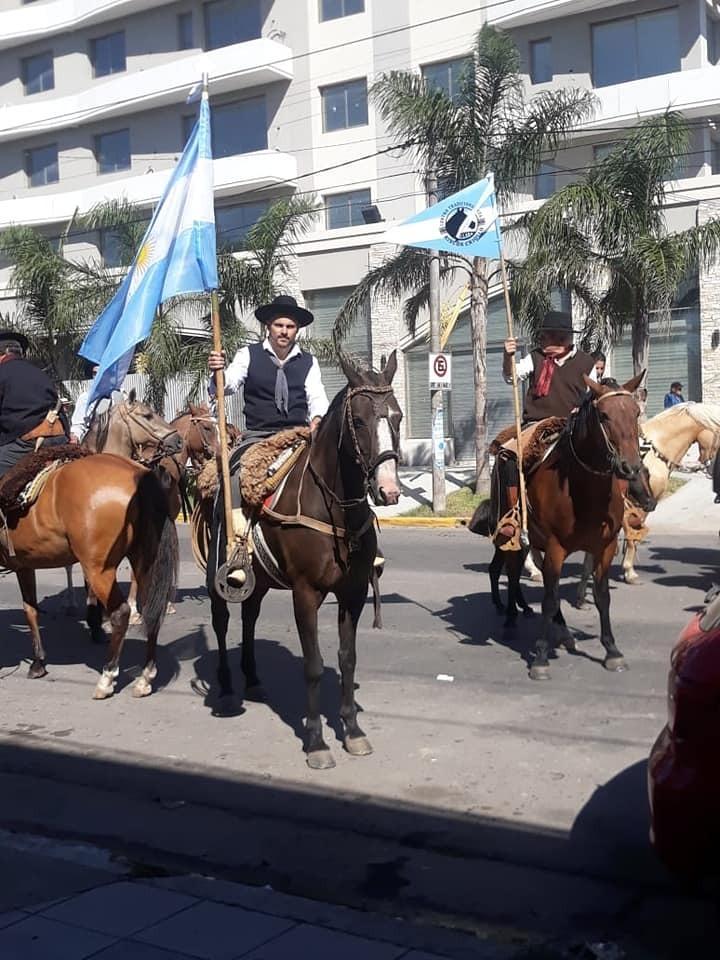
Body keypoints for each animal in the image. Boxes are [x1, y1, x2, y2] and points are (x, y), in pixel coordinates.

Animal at [3, 454, 178, 700]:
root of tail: (138, 473)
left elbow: (30, 610)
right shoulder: (24, 564)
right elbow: (31, 609)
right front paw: (38, 661)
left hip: (99, 569)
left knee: (121, 613)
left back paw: (107, 678)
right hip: (144, 561)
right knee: (152, 610)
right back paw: (145, 677)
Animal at [205, 356, 402, 768]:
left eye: (398, 416)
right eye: (359, 420)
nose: (388, 491)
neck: (336, 510)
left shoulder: (353, 593)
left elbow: (347, 658)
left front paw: (352, 731)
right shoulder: (305, 593)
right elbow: (312, 666)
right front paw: (316, 742)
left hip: (259, 580)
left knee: (249, 617)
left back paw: (252, 680)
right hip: (217, 574)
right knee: (221, 620)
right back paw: (228, 689)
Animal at [498, 372, 656, 680]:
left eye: (635, 413)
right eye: (604, 415)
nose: (629, 467)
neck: (584, 490)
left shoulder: (605, 547)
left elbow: (601, 596)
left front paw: (612, 651)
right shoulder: (555, 547)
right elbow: (548, 600)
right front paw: (540, 658)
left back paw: (563, 632)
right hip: (515, 538)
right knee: (512, 573)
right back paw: (511, 619)